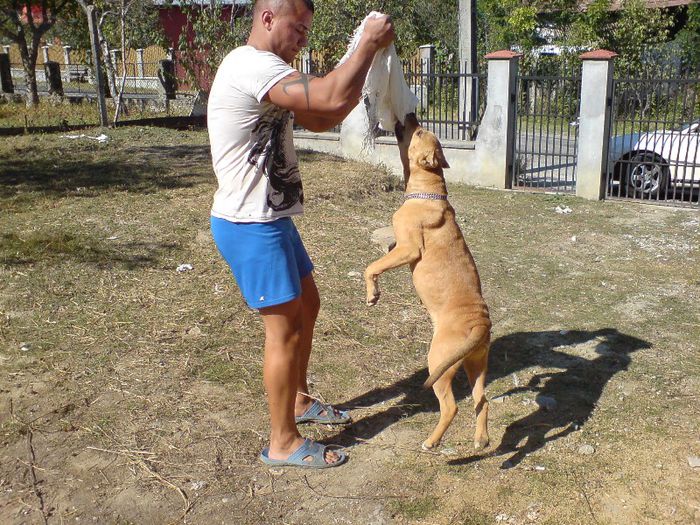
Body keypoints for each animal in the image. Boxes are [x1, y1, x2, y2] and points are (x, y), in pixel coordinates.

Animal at [366, 114, 492, 450]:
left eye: (420, 131)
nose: (411, 115)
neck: (428, 190)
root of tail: (480, 324)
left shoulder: (407, 249)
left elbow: (372, 266)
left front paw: (372, 294)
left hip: (439, 364)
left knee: (451, 407)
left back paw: (431, 441)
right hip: (475, 365)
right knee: (483, 401)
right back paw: (481, 439)